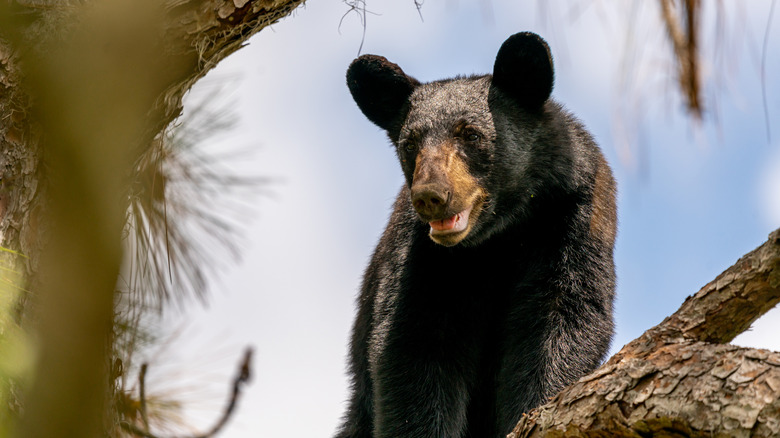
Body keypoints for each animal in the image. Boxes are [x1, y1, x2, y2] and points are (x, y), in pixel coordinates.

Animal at [338, 31, 620, 438]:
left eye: (470, 134)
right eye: (410, 143)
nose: (431, 196)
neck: (499, 235)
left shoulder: (573, 218)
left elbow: (563, 321)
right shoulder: (421, 254)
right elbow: (413, 349)